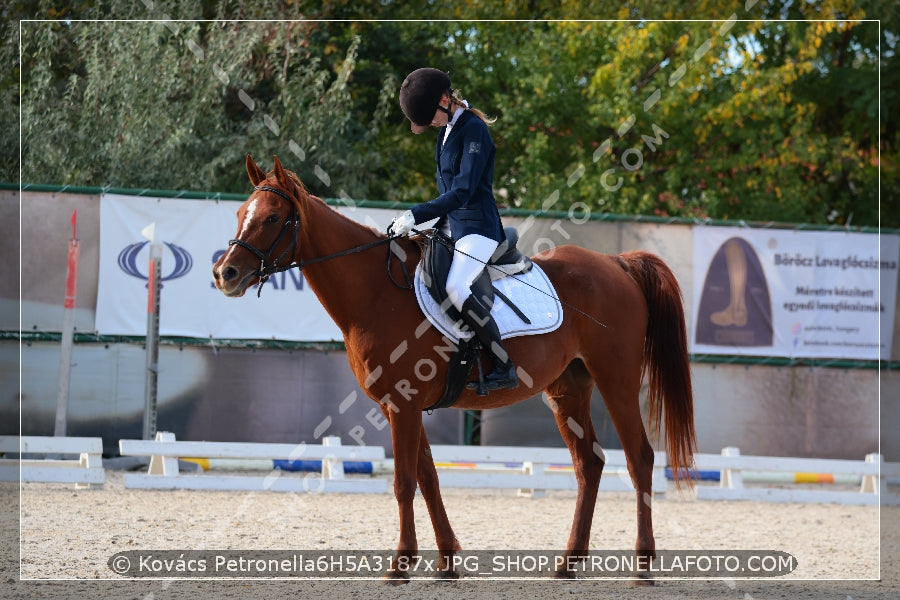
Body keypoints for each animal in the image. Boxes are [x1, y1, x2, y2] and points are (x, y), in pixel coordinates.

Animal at [211, 155, 696, 580]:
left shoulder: (402, 405)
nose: (224, 274)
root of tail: (617, 263)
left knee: (639, 459)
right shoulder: (400, 406)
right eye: (239, 213)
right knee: (589, 464)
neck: (375, 293)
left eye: (273, 218)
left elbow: (404, 481)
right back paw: (567, 564)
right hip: (568, 390)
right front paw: (446, 562)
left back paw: (642, 566)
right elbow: (428, 478)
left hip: (616, 380)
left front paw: (401, 565)